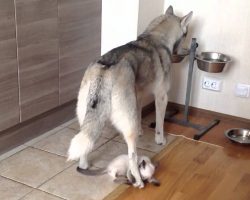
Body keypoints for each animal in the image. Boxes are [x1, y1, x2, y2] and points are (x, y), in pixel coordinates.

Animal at [67, 5, 192, 188]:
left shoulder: (137, 97)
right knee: (133, 157)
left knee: (86, 143)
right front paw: (160, 139)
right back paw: (138, 180)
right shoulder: (162, 97)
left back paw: (83, 165)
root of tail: (105, 68)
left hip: (86, 117)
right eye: (186, 34)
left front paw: (142, 131)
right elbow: (160, 122)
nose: (187, 51)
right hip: (127, 127)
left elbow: (140, 115)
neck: (156, 37)